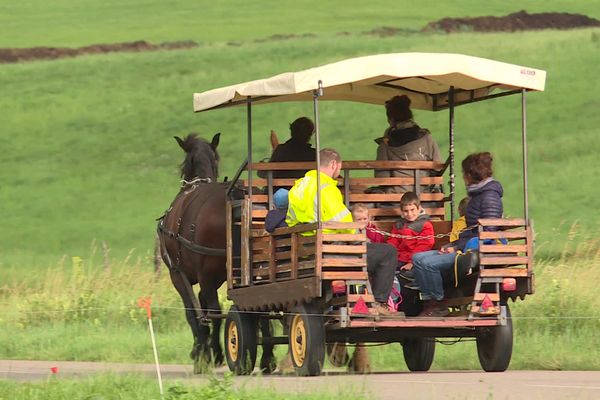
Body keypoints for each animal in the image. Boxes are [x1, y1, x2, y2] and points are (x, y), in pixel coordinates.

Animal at [156, 133, 276, 374]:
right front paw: (204, 349)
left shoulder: (180, 275)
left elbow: (193, 312)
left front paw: (202, 353)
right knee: (260, 308)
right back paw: (267, 358)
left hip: (206, 272)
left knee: (215, 310)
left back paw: (219, 353)